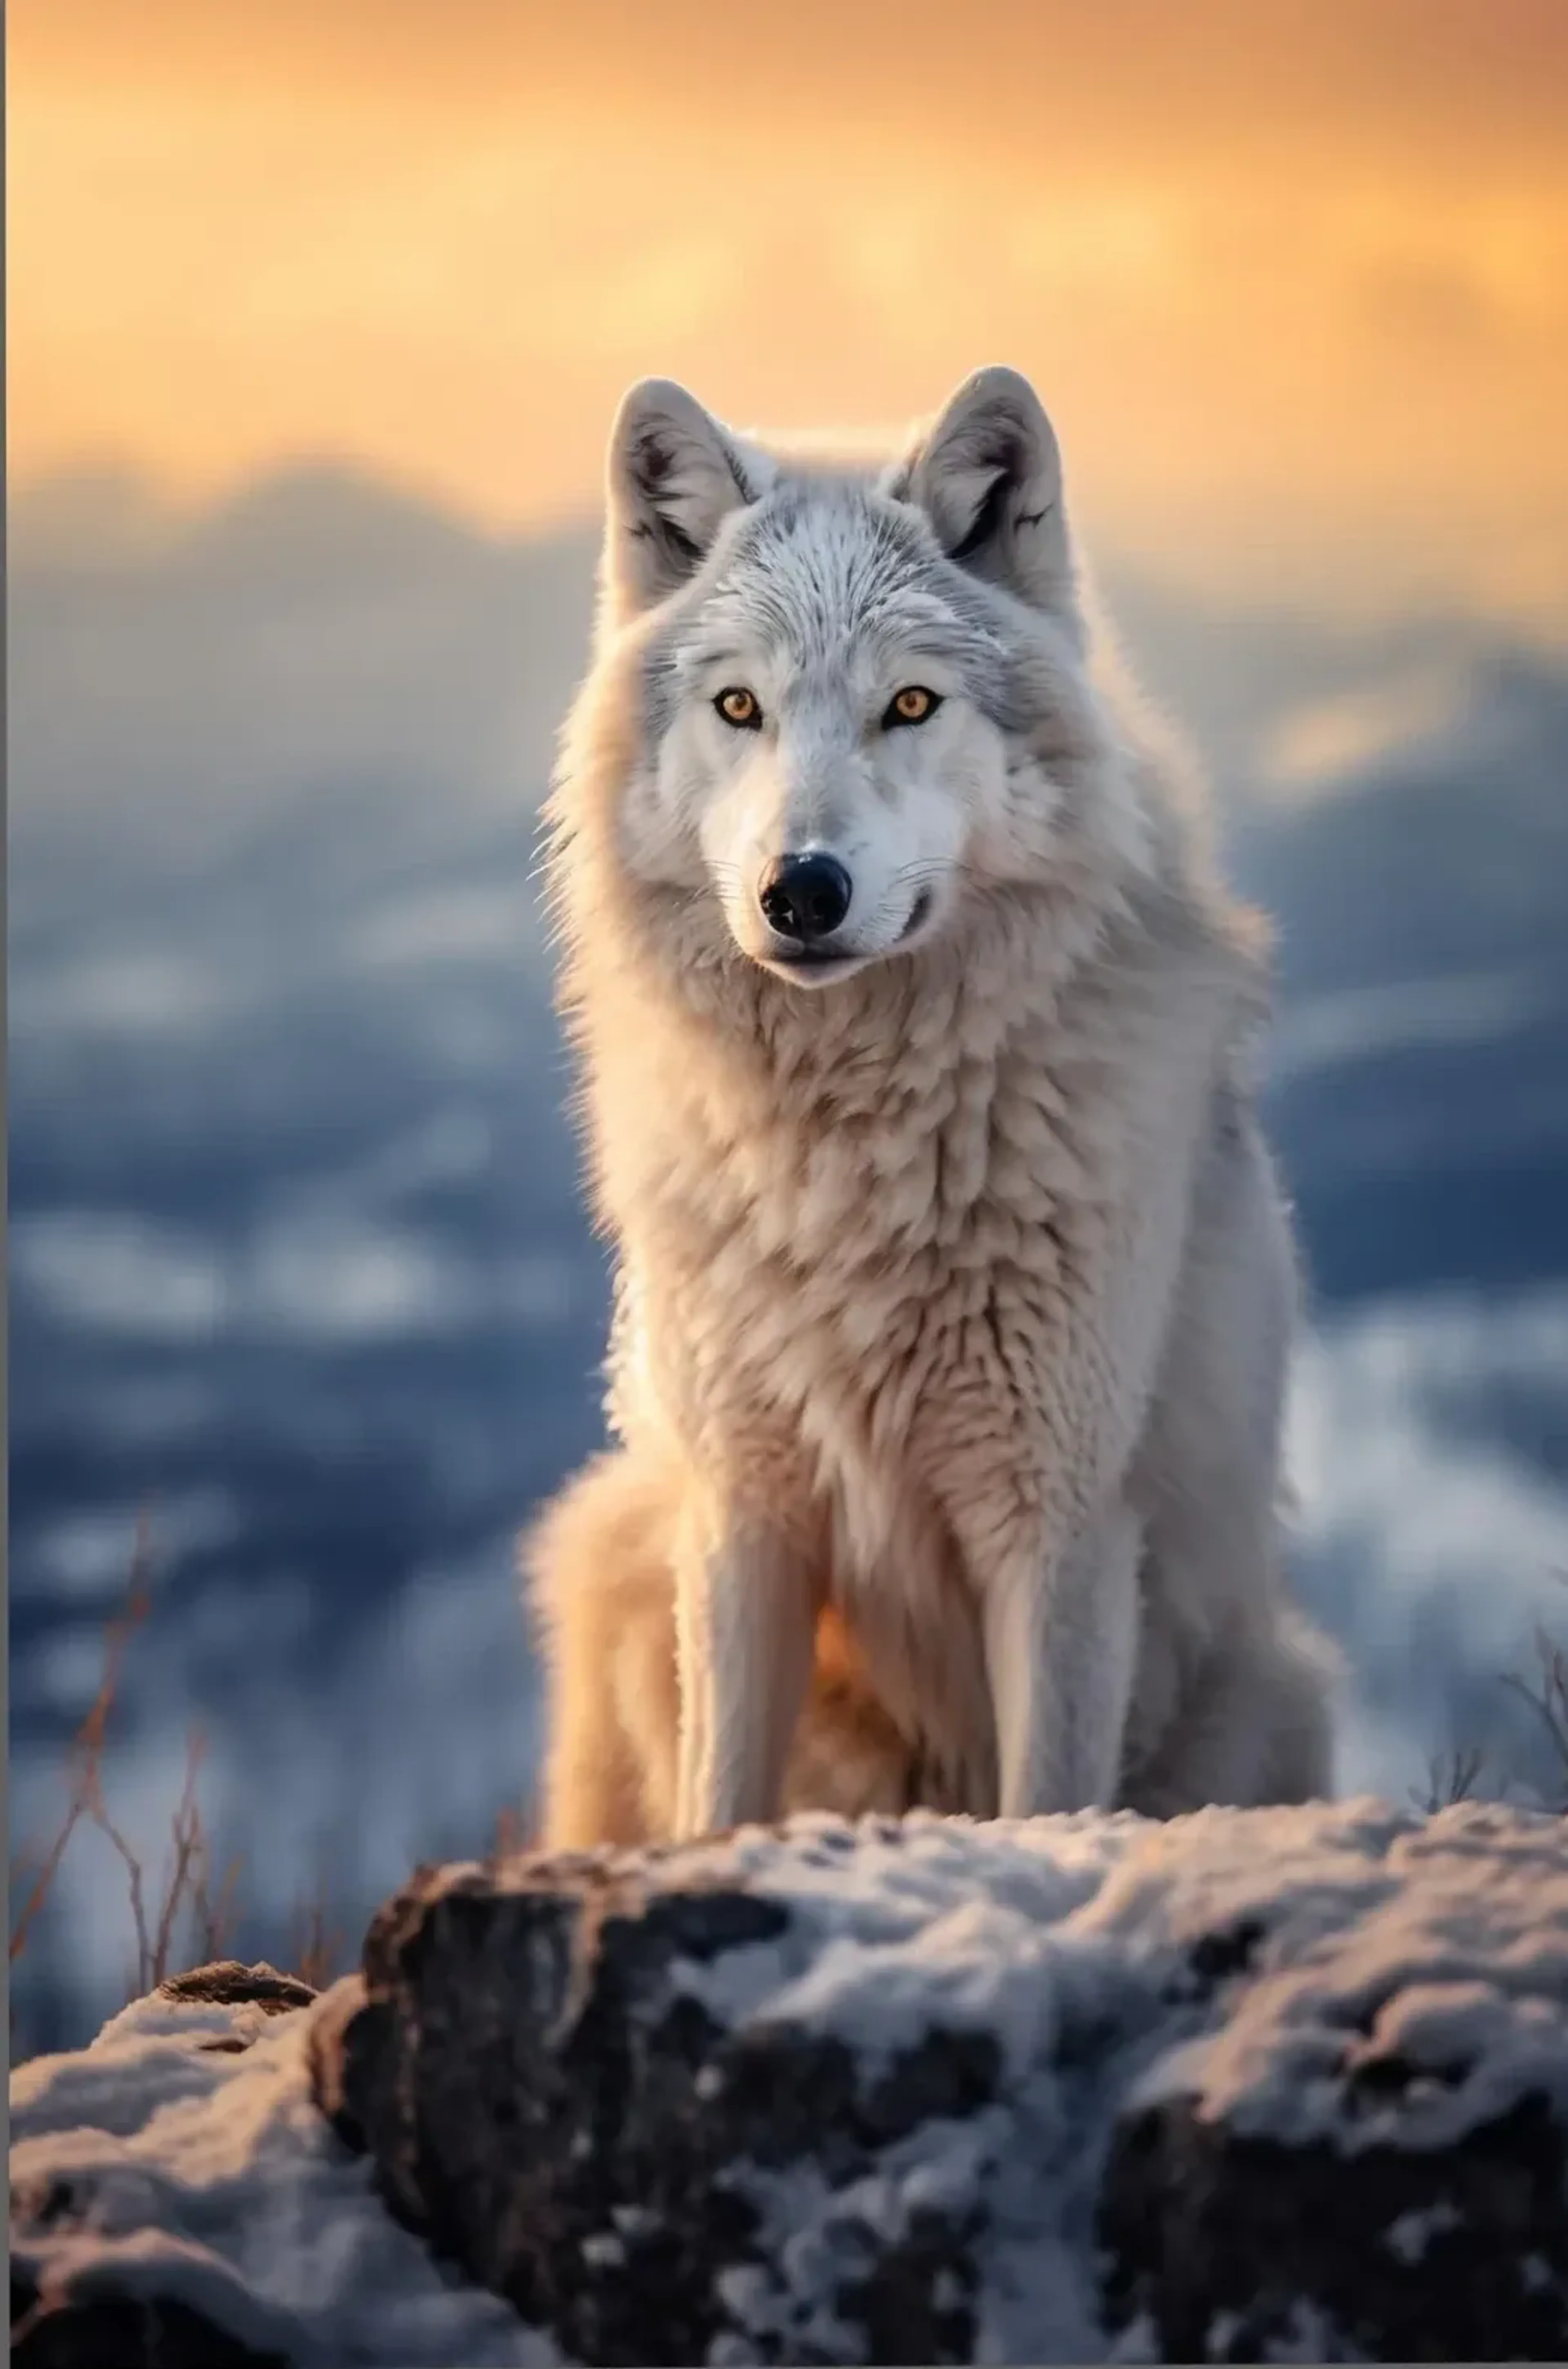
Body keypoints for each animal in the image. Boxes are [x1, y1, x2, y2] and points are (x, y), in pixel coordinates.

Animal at [525, 364, 1338, 1849]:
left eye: (911, 705)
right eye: (741, 709)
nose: (803, 889)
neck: (854, 1144)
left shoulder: (1059, 1528)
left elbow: (1046, 1799)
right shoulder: (744, 1514)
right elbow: (721, 1797)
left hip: (1267, 1689)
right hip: (620, 1558)